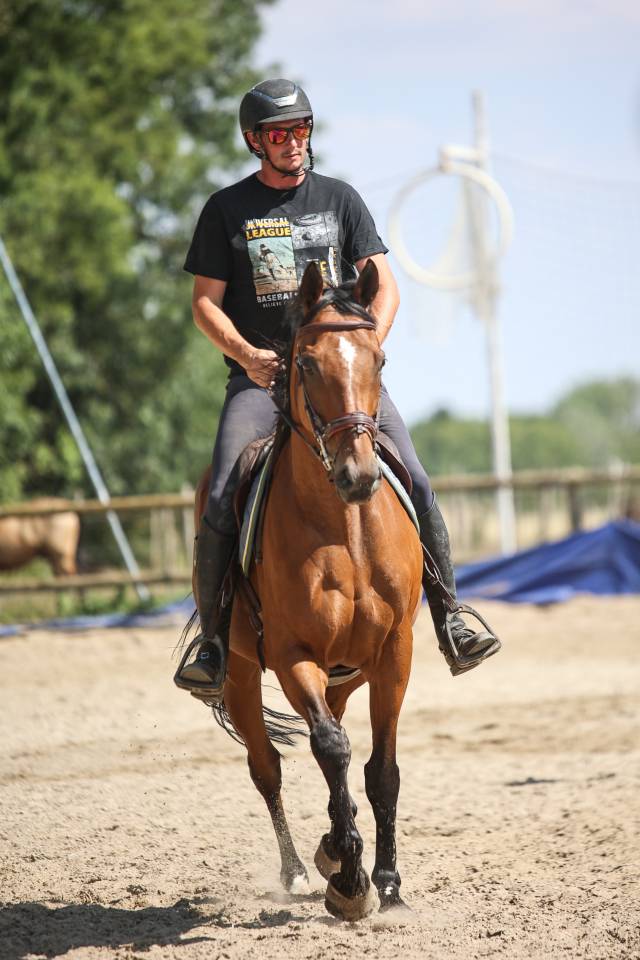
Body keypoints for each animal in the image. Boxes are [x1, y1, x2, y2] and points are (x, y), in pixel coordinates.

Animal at [195, 260, 423, 920]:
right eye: (306, 365)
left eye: (379, 360)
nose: (358, 475)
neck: (346, 529)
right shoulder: (292, 655)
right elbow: (330, 749)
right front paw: (348, 879)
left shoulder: (394, 653)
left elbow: (380, 768)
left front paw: (387, 883)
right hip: (244, 674)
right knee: (267, 766)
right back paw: (300, 868)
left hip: (345, 674)